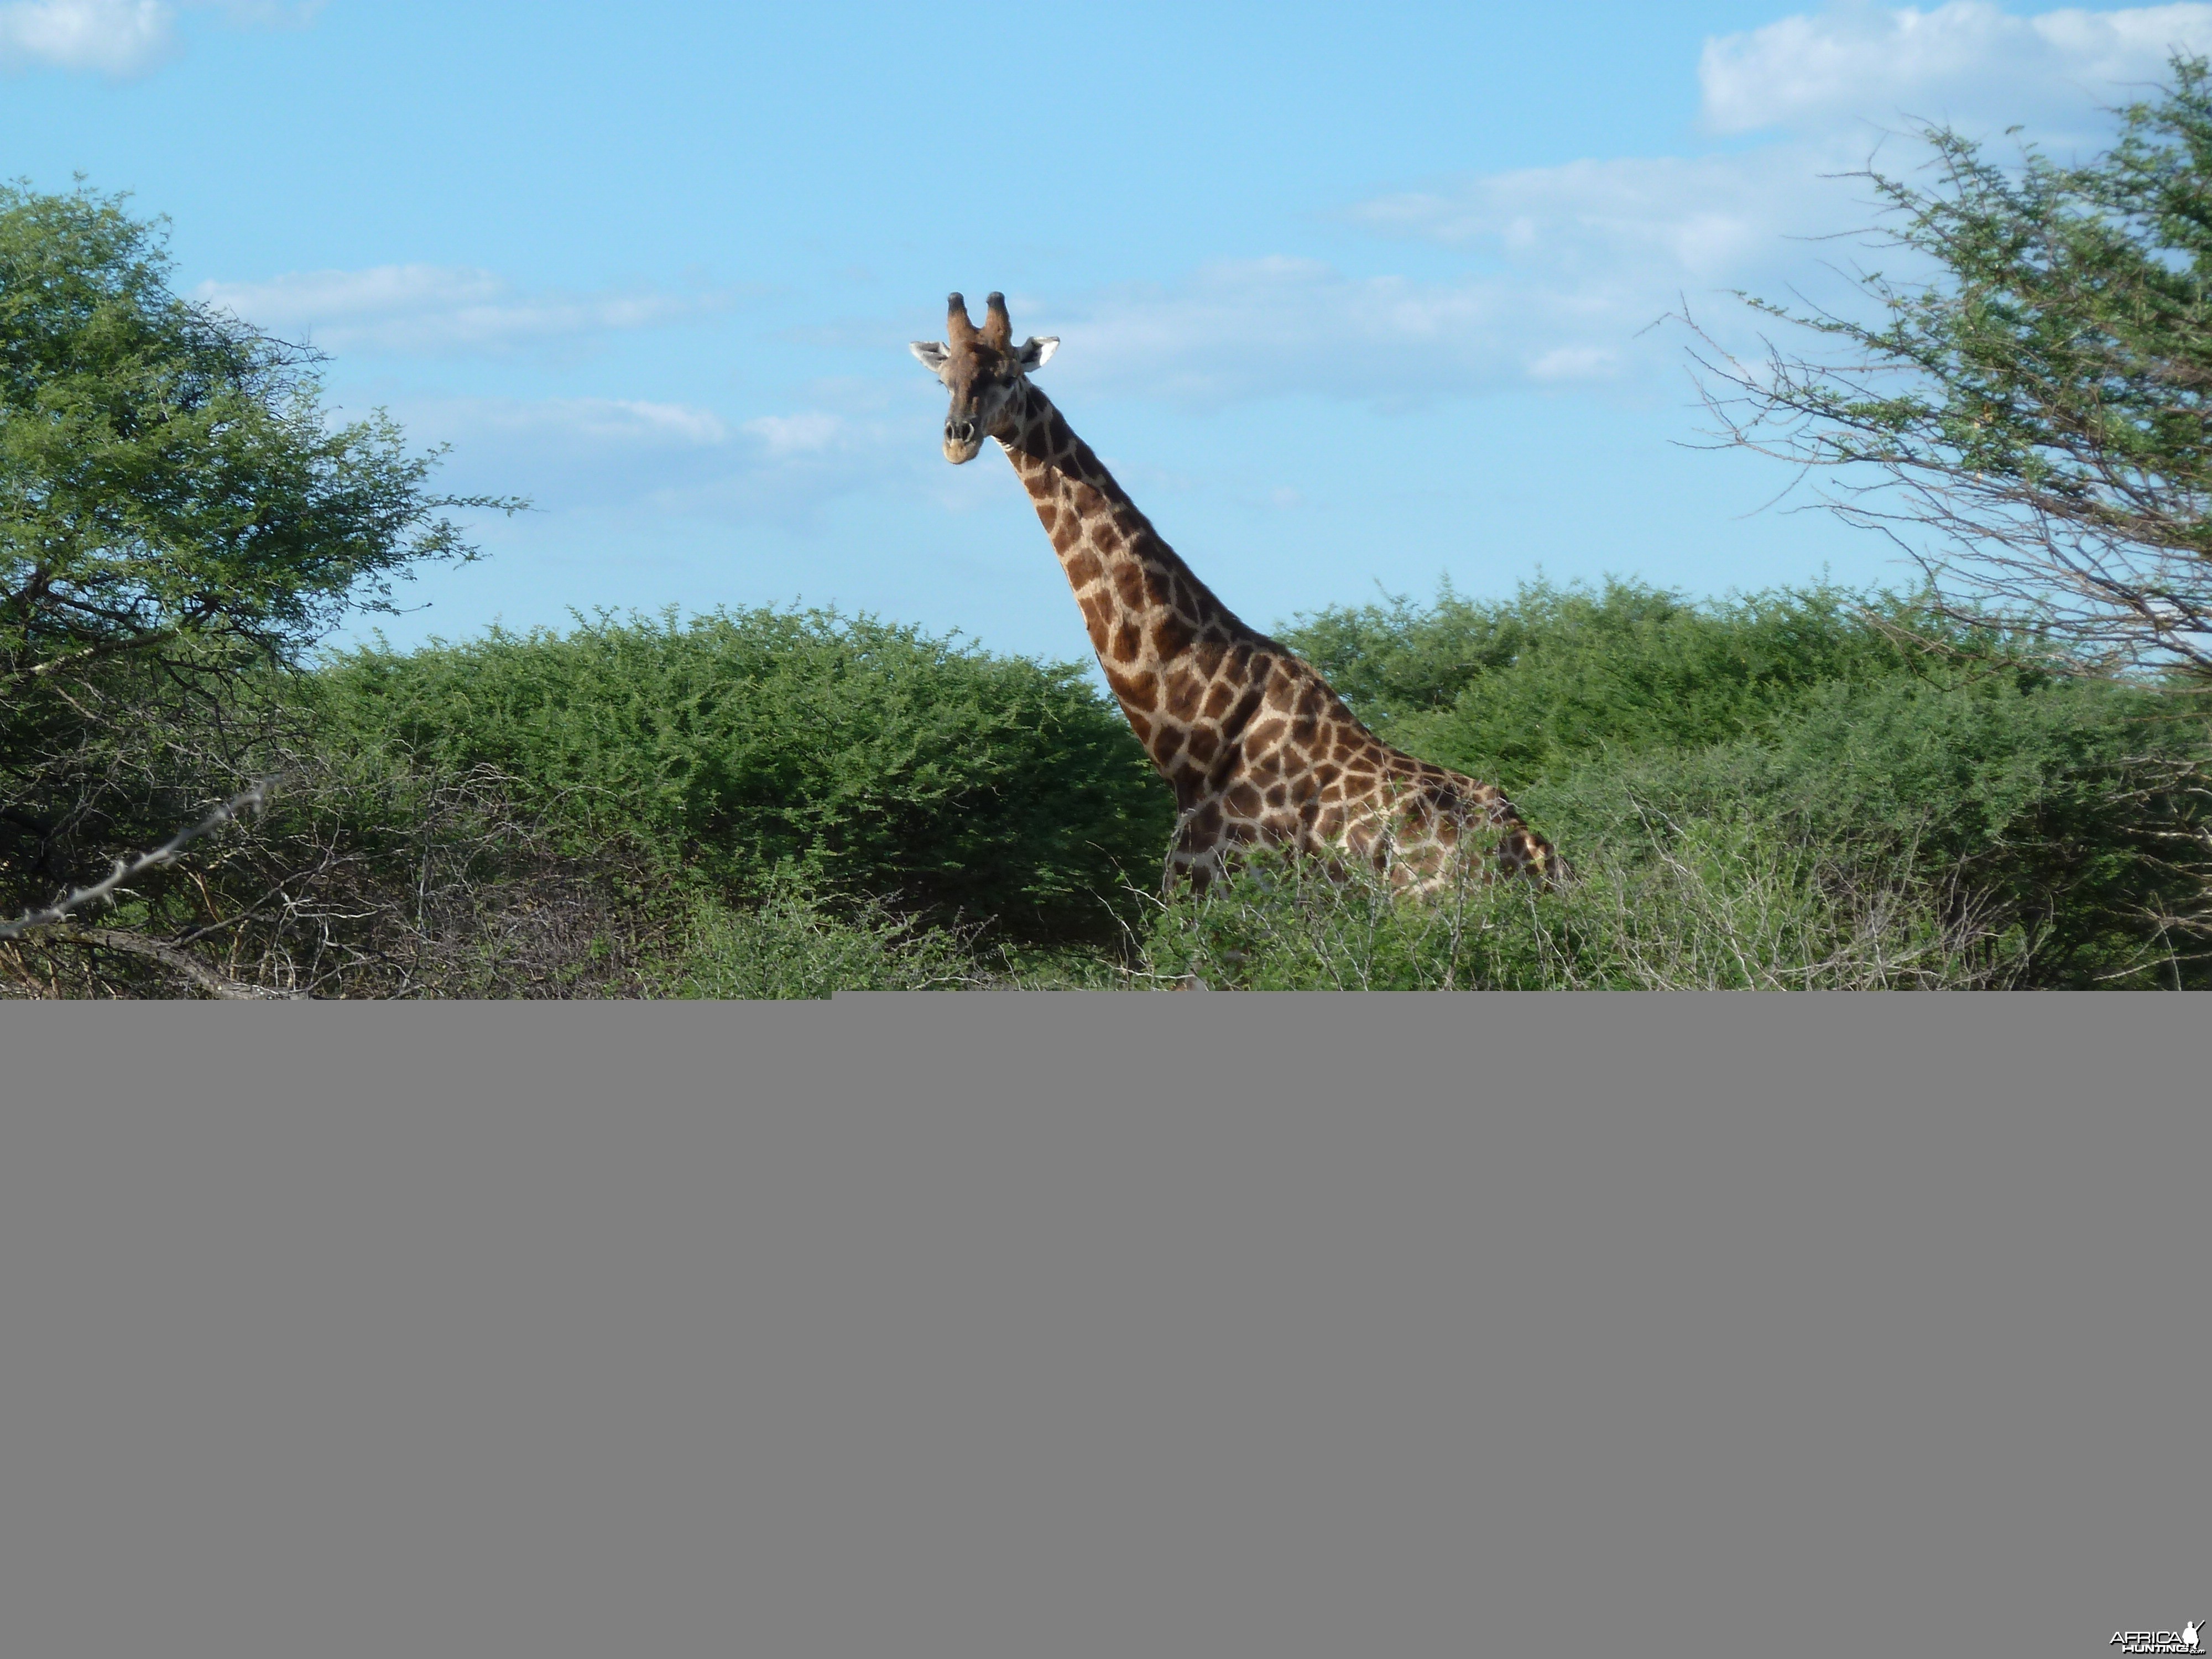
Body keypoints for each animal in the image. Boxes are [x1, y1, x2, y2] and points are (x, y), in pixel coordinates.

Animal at [907, 292, 1566, 902]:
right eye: (946, 380)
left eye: (1008, 376)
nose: (958, 439)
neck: (1192, 738)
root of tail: (1541, 858)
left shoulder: (1220, 899)